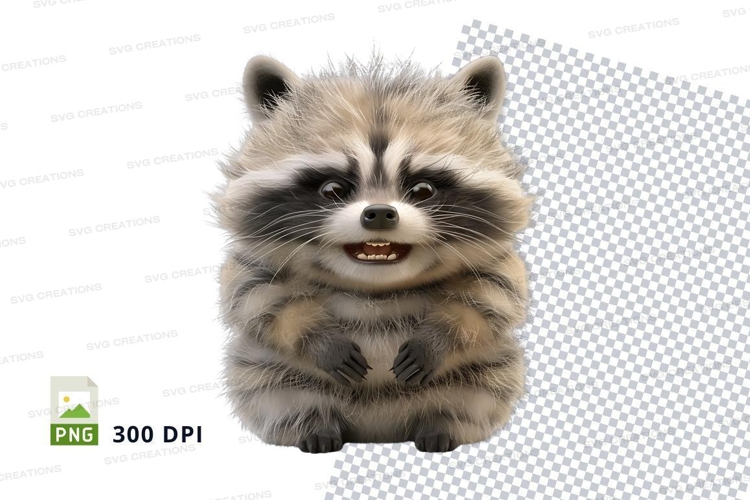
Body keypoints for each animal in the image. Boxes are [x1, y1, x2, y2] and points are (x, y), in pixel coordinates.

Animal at [212, 52, 533, 453]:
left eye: (423, 189)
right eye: (333, 189)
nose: (379, 213)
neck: (375, 284)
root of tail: (378, 430)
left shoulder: (495, 261)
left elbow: (491, 298)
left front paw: (438, 337)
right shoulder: (258, 261)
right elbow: (259, 298)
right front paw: (318, 337)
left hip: (487, 368)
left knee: (483, 388)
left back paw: (441, 424)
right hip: (265, 369)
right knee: (272, 389)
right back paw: (315, 426)